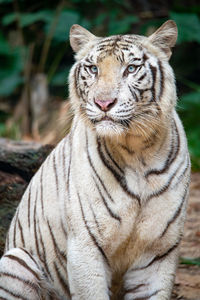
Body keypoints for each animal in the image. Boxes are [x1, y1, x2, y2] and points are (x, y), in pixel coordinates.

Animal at [0, 19, 191, 298]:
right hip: (14, 260)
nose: (103, 103)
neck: (138, 151)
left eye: (131, 69)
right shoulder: (85, 246)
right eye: (93, 69)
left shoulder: (158, 252)